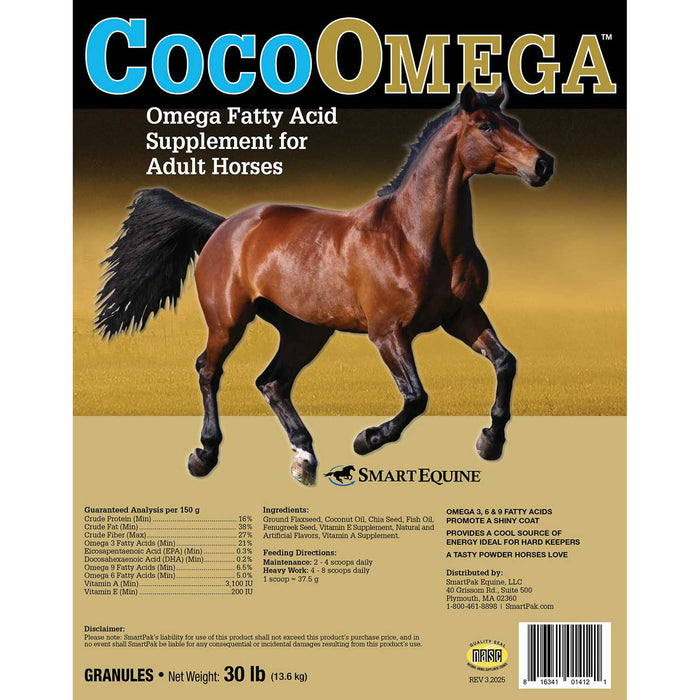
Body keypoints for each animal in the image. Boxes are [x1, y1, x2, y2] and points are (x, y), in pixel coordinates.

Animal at [95, 83, 554, 486]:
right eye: (486, 126)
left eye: (513, 121)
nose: (543, 164)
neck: (415, 238)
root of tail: (225, 226)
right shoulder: (388, 332)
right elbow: (416, 397)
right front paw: (367, 439)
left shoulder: (463, 317)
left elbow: (505, 363)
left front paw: (490, 441)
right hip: (228, 323)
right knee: (209, 370)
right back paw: (205, 455)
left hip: (305, 332)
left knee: (272, 383)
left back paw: (305, 457)